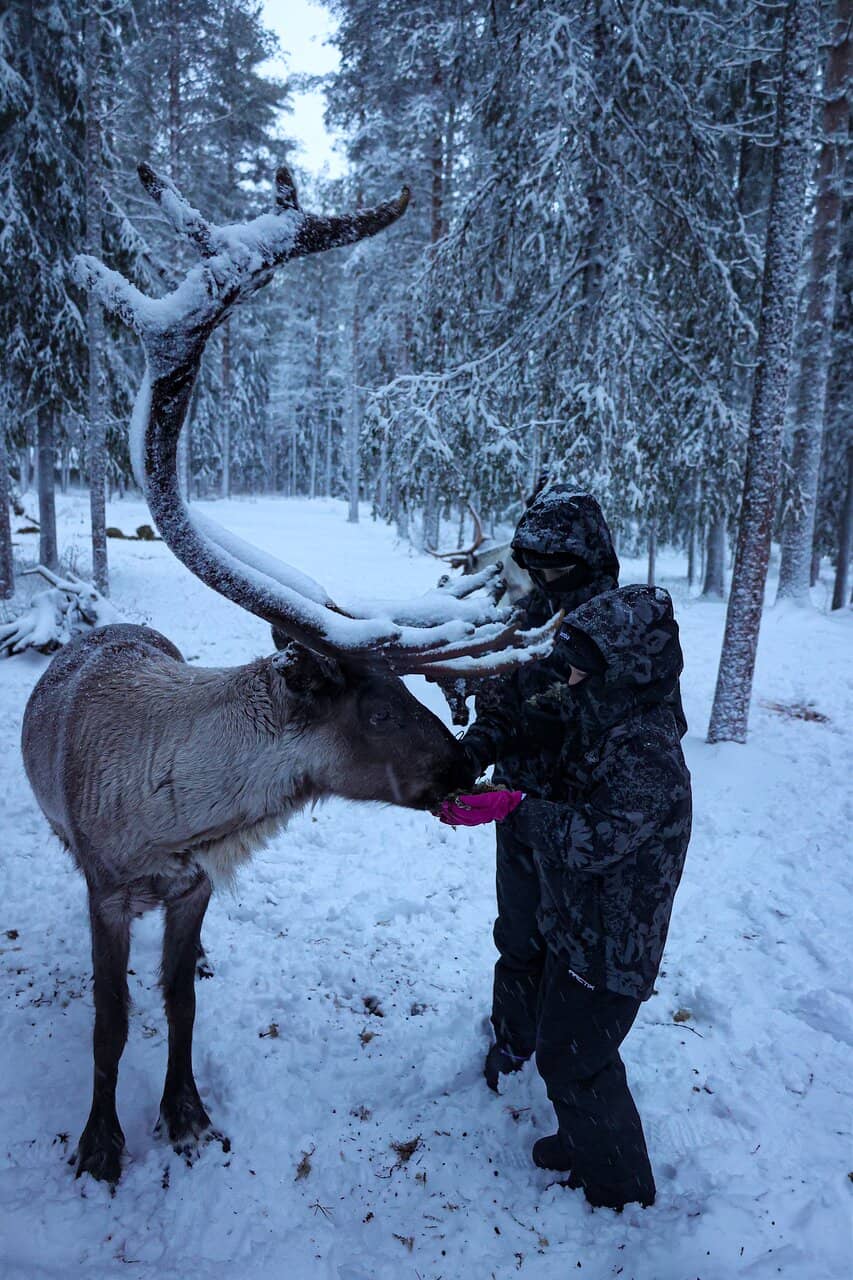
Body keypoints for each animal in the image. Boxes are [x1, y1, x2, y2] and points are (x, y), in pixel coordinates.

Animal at [20, 162, 559, 1186]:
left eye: (415, 695)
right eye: (377, 710)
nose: (464, 766)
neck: (180, 812)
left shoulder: (191, 889)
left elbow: (179, 1004)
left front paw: (186, 1114)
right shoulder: (107, 891)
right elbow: (112, 1021)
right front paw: (101, 1142)